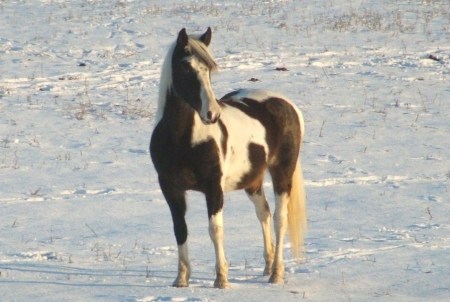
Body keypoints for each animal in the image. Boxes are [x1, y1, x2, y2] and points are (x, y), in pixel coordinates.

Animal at [150, 27, 306, 288]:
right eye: (186, 68)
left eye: (209, 70)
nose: (212, 114)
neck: (184, 139)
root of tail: (287, 104)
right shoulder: (170, 188)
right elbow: (180, 229)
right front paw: (181, 279)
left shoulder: (214, 187)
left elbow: (215, 230)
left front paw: (221, 280)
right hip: (252, 181)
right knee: (264, 213)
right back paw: (267, 266)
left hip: (282, 174)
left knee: (279, 219)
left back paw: (276, 273)